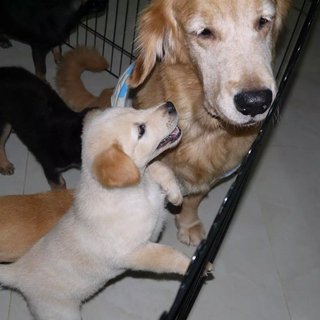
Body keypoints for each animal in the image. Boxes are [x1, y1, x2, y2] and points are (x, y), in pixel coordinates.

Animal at [0, 102, 192, 320]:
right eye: (141, 130)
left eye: (135, 109)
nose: (170, 105)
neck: (136, 190)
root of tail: (16, 273)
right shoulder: (135, 251)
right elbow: (168, 255)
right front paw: (192, 266)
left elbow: (159, 166)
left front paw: (175, 195)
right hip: (61, 312)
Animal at [56, 0, 292, 246]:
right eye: (204, 32)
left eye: (264, 21)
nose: (256, 102)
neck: (203, 127)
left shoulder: (208, 176)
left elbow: (194, 199)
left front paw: (188, 223)